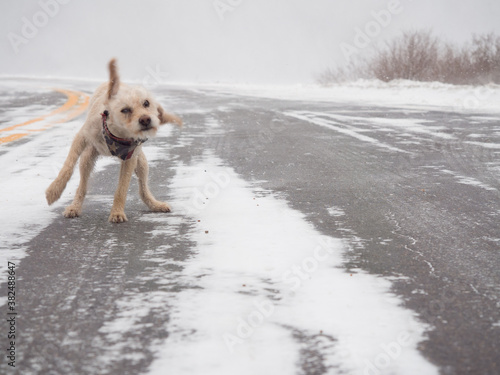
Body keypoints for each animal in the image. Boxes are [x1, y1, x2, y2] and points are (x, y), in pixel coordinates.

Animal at [46, 58, 183, 223]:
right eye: (125, 110)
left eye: (146, 103)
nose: (145, 120)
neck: (118, 133)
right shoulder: (81, 137)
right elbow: (67, 167)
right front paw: (54, 191)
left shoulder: (130, 158)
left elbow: (122, 188)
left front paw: (117, 212)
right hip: (87, 159)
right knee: (82, 186)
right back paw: (75, 207)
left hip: (142, 163)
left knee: (143, 188)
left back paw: (155, 204)